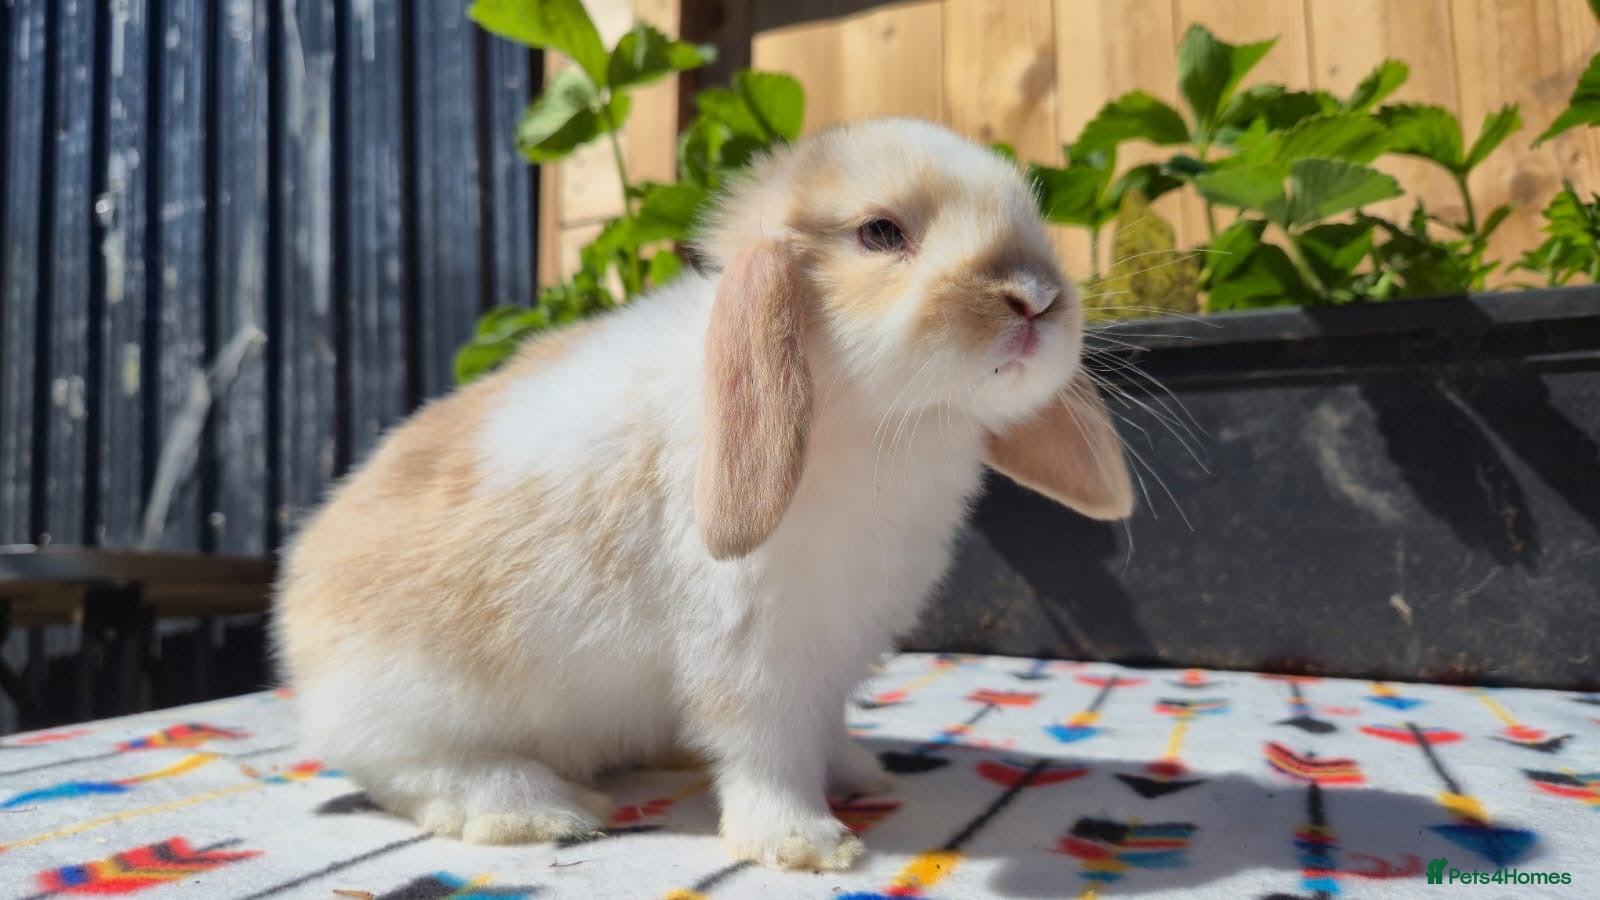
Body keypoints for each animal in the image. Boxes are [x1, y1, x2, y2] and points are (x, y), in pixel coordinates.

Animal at [271, 117, 1134, 872]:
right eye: (880, 233)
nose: (1034, 297)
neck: (860, 411)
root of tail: (297, 619)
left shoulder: (836, 649)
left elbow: (824, 727)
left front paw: (860, 774)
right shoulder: (752, 652)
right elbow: (768, 749)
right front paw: (805, 843)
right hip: (413, 709)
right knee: (417, 773)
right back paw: (545, 808)